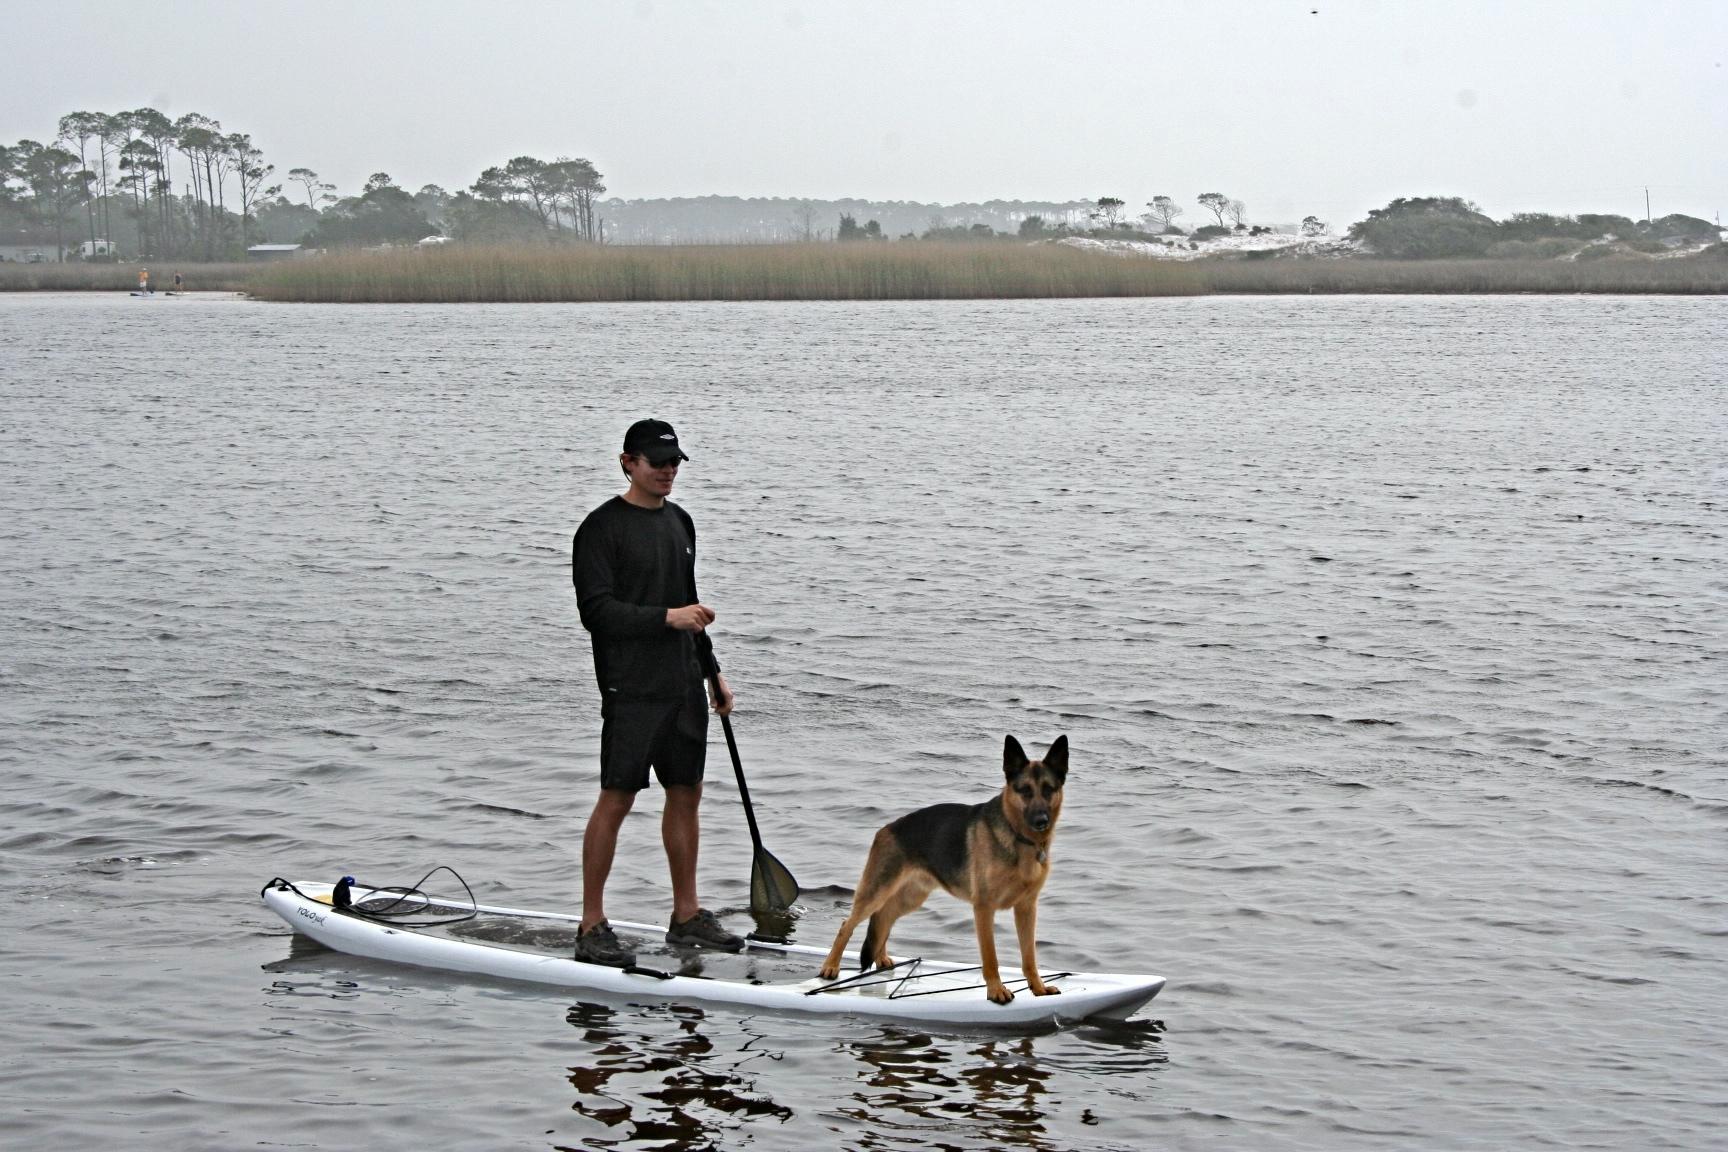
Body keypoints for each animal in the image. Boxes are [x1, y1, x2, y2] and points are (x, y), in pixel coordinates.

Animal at [819, 739, 1064, 1001]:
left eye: (1048, 789)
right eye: (1025, 790)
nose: (1041, 821)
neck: (1018, 836)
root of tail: (886, 828)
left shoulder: (1027, 909)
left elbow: (1029, 957)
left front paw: (1038, 988)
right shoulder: (984, 908)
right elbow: (991, 958)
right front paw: (996, 990)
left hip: (909, 898)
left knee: (883, 916)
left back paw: (880, 958)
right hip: (876, 892)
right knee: (848, 924)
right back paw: (830, 966)